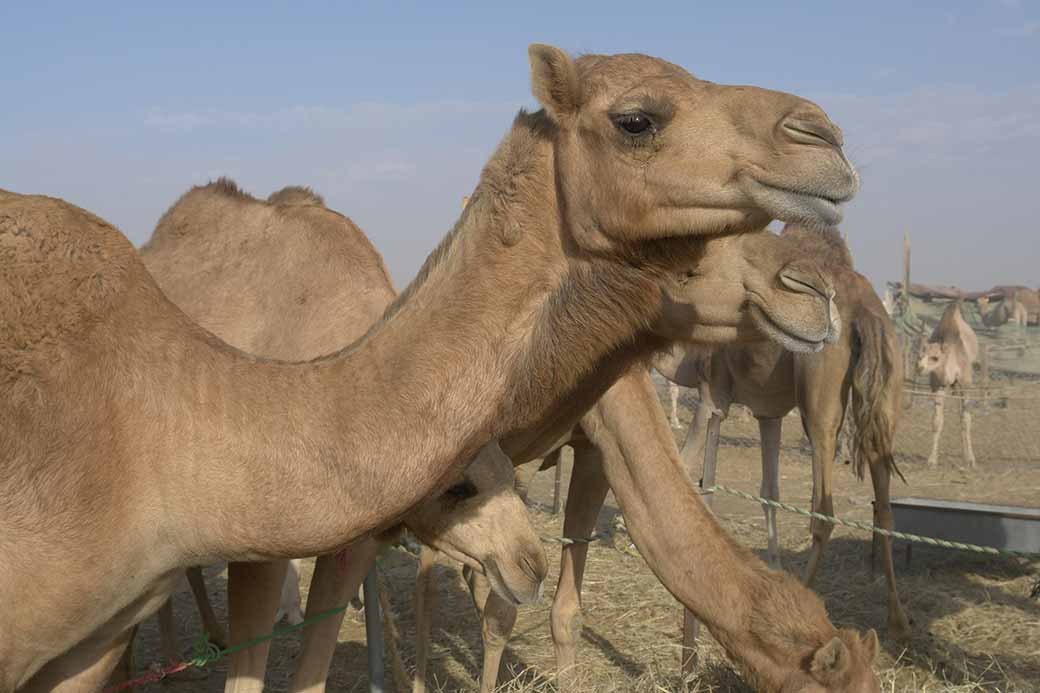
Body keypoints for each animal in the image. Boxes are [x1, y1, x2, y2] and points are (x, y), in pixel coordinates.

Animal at [654, 225, 912, 668]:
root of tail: (866, 310)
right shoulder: (767, 413)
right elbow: (768, 491)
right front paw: (772, 564)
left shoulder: (711, 395)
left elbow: (688, 466)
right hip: (886, 398)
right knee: (886, 509)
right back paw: (897, 622)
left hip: (819, 397)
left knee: (824, 510)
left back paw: (805, 606)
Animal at [917, 300, 979, 468]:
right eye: (920, 355)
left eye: (935, 358)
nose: (919, 368)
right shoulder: (938, 386)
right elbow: (937, 421)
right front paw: (932, 460)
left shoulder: (965, 385)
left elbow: (966, 420)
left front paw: (971, 460)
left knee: (963, 416)